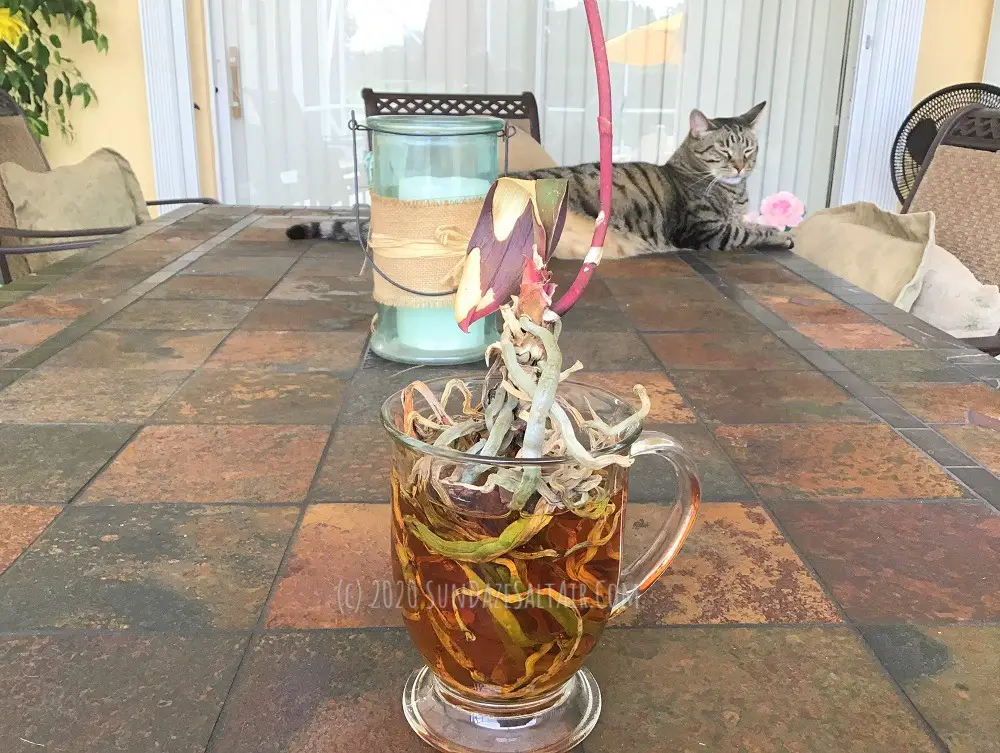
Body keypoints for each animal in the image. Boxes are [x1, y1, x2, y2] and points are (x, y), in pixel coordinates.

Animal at [282, 101, 788, 258]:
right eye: (724, 151)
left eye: (750, 149)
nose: (742, 166)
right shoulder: (705, 231)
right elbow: (748, 231)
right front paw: (782, 233)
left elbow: (749, 221)